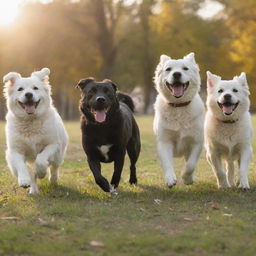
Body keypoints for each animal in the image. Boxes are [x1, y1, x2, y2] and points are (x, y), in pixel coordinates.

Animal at [153, 52, 205, 188]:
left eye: (185, 68)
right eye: (168, 69)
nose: (176, 74)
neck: (179, 107)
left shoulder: (196, 142)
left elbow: (190, 164)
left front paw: (186, 178)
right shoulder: (164, 141)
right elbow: (167, 162)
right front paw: (170, 179)